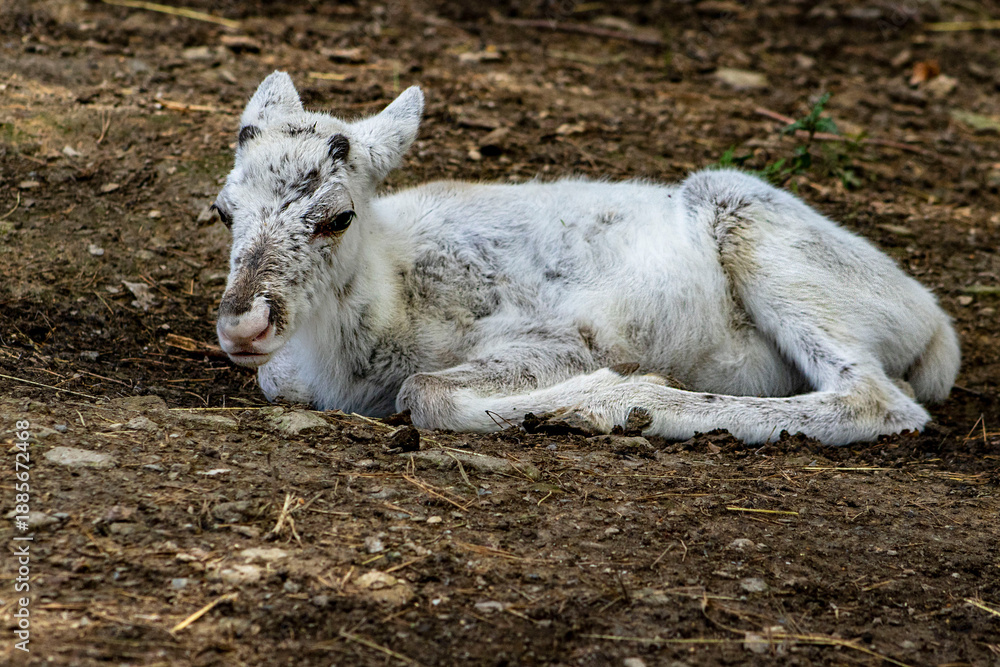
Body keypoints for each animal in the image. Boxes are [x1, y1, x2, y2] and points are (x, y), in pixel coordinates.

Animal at [213, 72, 960, 446]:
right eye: (223, 210)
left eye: (337, 217)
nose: (242, 324)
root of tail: (936, 328)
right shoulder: (286, 371)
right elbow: (276, 379)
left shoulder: (562, 337)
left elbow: (424, 391)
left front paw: (619, 396)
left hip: (760, 234)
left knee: (876, 398)